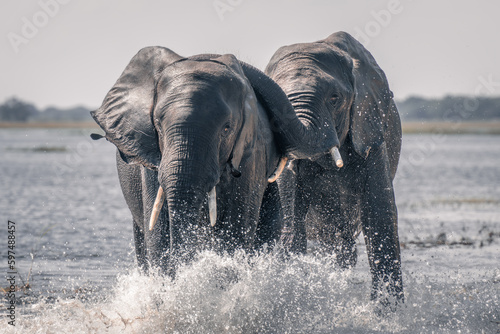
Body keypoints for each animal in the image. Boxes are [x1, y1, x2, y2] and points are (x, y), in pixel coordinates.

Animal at [90, 47, 334, 276]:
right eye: (158, 125)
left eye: (226, 129)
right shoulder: (153, 158)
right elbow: (157, 235)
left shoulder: (251, 153)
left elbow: (236, 232)